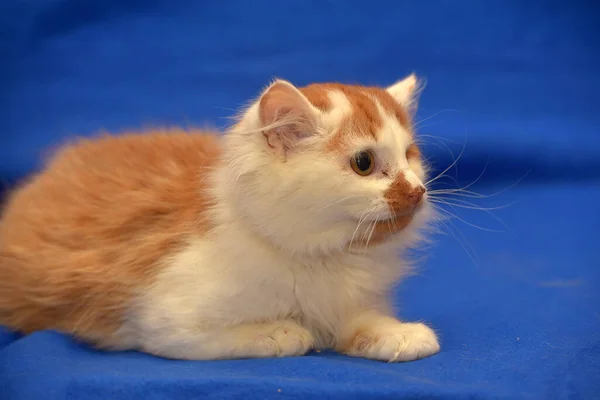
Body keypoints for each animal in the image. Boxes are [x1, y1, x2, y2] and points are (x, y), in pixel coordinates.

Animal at [1, 73, 440, 360]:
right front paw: (283, 332)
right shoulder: (158, 319)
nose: (417, 190)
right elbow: (228, 337)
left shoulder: (347, 304)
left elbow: (361, 322)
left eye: (409, 156)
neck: (324, 257)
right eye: (364, 163)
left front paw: (400, 335)